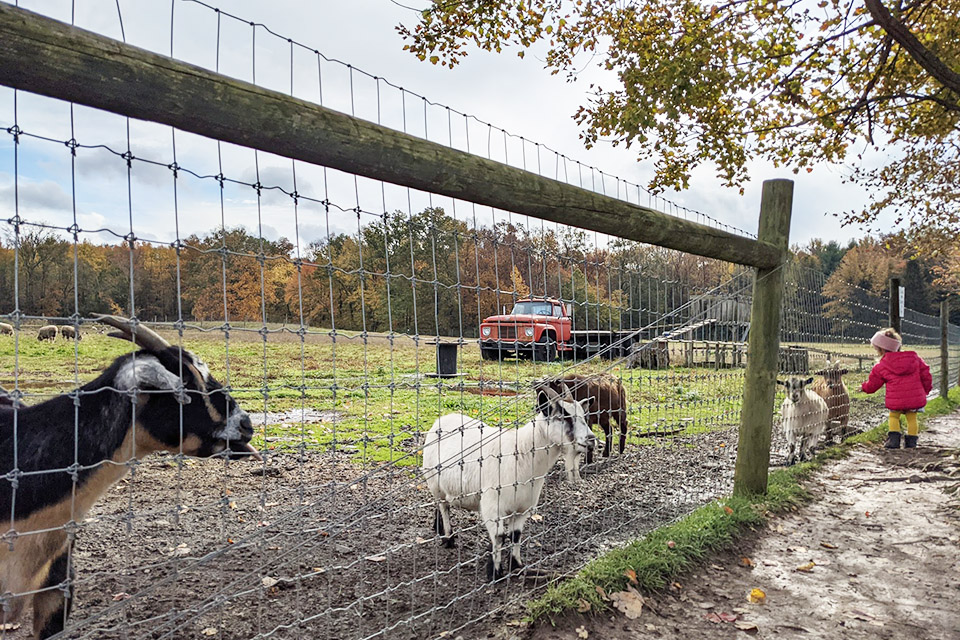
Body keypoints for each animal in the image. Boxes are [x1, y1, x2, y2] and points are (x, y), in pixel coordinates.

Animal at [422, 383, 597, 581]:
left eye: (584, 416)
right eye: (563, 416)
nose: (591, 440)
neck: (522, 452)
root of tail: (443, 419)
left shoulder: (522, 508)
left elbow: (516, 535)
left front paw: (516, 564)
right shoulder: (492, 506)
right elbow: (499, 537)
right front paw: (495, 572)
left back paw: (438, 528)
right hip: (434, 483)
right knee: (444, 506)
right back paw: (448, 537)